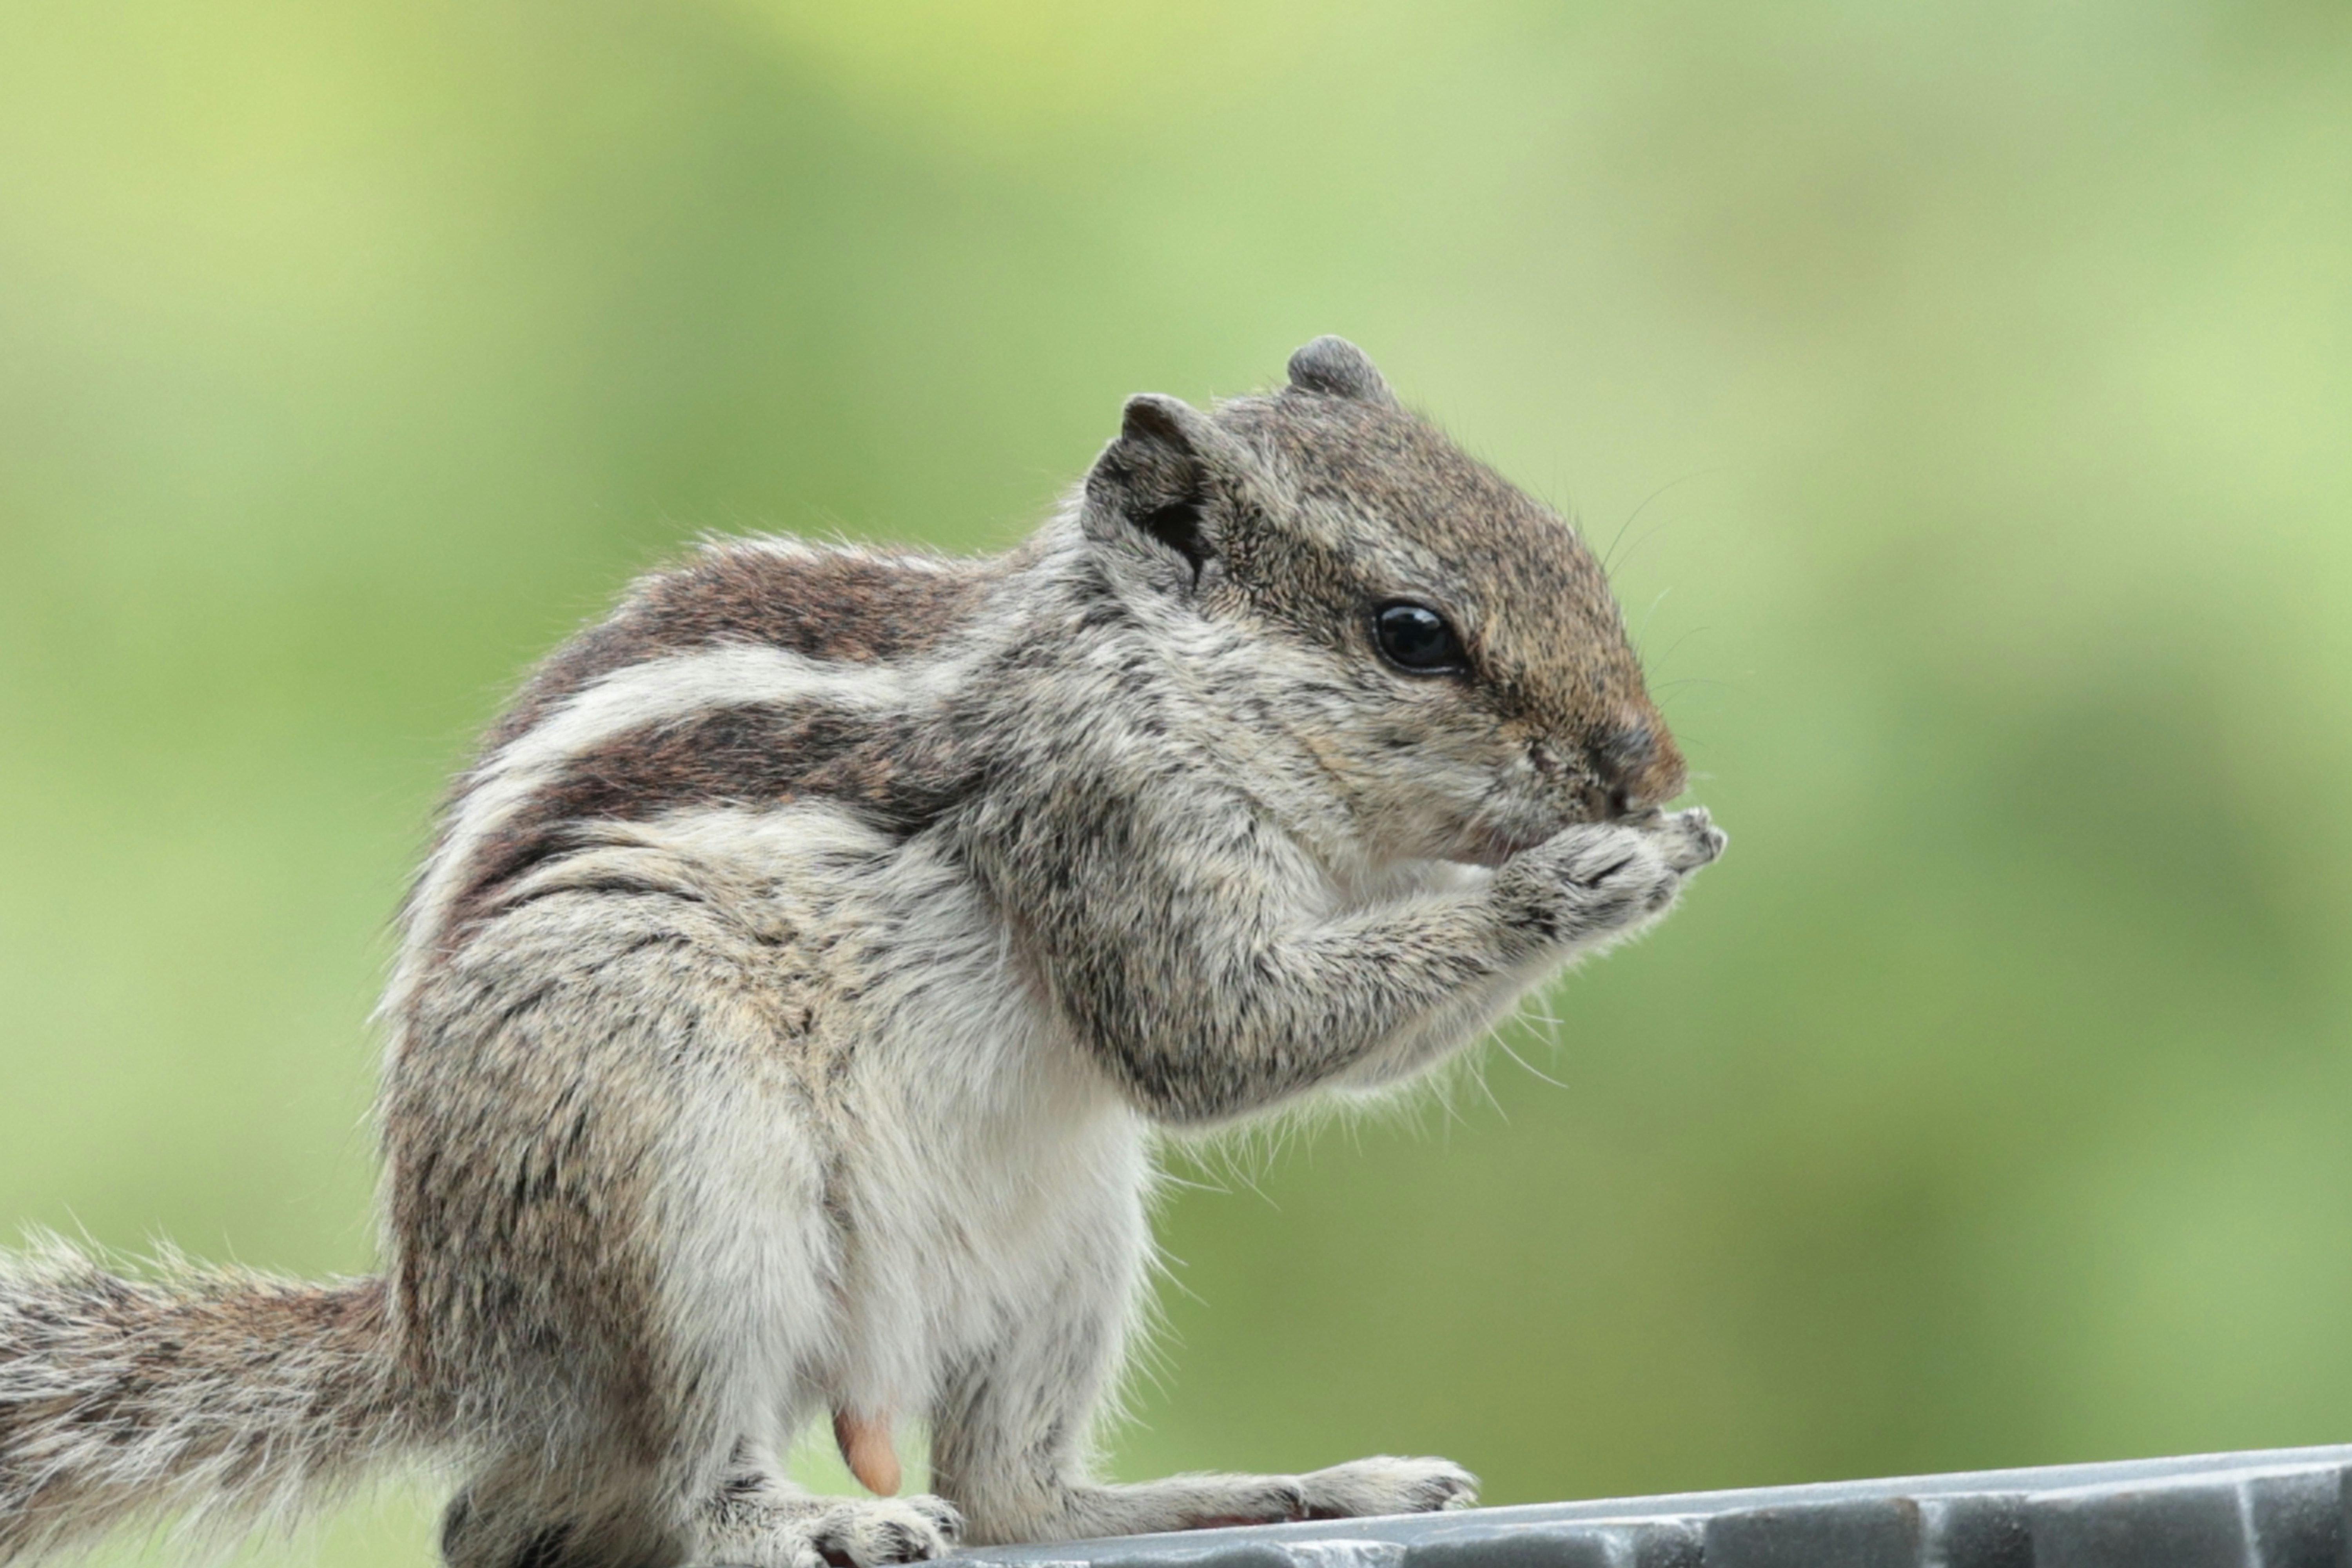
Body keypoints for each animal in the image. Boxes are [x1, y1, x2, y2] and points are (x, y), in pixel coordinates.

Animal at [0, 337, 1722, 1568]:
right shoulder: (1104, 816)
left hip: (1065, 1244)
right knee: (626, 1505)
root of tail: (448, 1339)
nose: (1647, 765)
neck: (1150, 671)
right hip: (669, 1174)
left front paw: (1668, 845)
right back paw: (812, 1520)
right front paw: (1592, 876)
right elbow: (1213, 1034)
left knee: (1012, 1495)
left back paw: (1281, 1489)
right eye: (1412, 633)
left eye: (1570, 549)